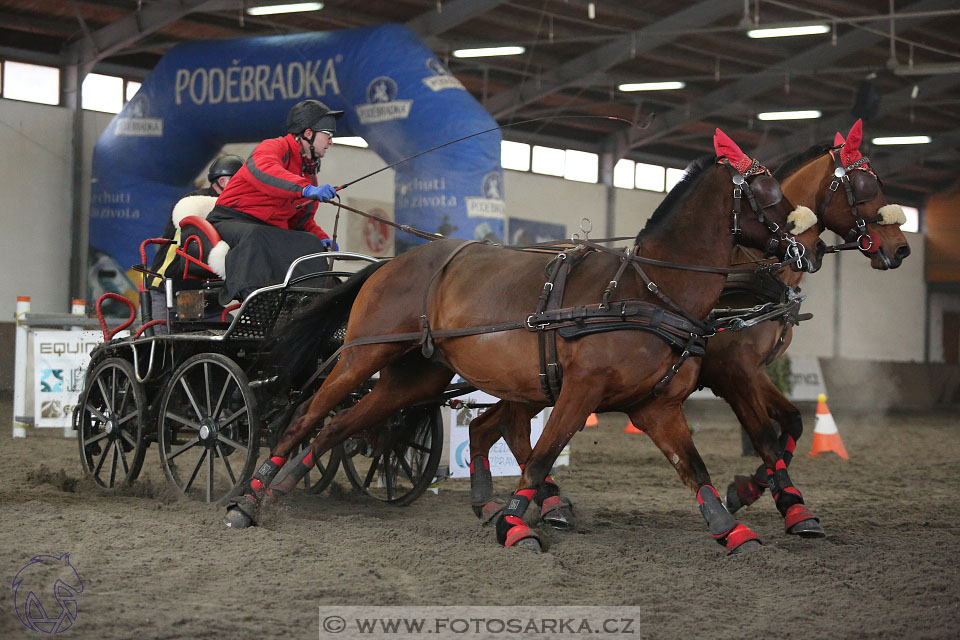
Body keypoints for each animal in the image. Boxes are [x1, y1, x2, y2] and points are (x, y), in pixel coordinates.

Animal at [225, 131, 816, 556]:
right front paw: (515, 524)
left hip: (413, 377)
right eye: (768, 196)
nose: (801, 252)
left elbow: (694, 467)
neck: (648, 289)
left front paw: (732, 528)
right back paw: (247, 499)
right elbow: (540, 458)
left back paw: (283, 486)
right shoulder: (582, 390)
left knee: (343, 425)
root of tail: (392, 261)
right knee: (305, 418)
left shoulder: (657, 405)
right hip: (362, 354)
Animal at [468, 117, 912, 536]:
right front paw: (790, 507)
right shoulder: (734, 369)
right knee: (507, 426)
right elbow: (765, 437)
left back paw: (519, 500)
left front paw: (748, 490)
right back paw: (540, 503)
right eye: (865, 185)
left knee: (488, 425)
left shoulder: (752, 371)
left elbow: (792, 423)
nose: (901, 249)